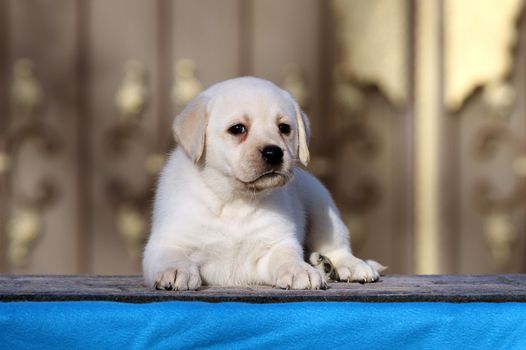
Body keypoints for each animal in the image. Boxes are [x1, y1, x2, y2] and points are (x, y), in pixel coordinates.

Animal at [144, 76, 388, 290]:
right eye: (237, 129)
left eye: (284, 128)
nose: (274, 153)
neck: (235, 200)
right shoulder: (166, 241)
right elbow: (172, 255)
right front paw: (176, 270)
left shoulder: (277, 243)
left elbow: (287, 256)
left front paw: (299, 270)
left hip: (322, 207)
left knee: (338, 247)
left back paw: (346, 265)